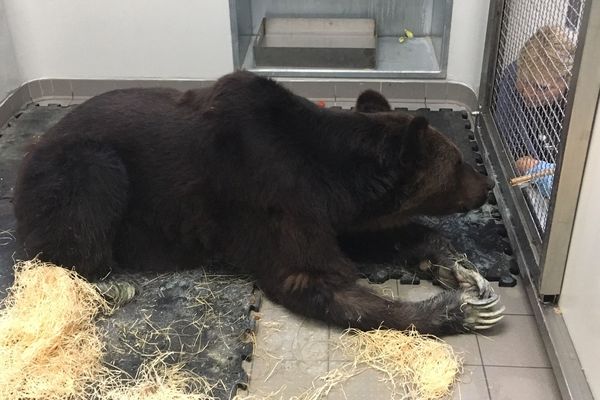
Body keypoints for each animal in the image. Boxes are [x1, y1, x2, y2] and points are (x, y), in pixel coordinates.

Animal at [12, 71, 502, 334]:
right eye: (458, 162)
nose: (488, 183)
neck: (329, 175)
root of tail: (30, 149)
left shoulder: (322, 209)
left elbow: (365, 236)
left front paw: (455, 265)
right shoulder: (267, 195)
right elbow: (311, 277)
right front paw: (461, 309)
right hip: (79, 166)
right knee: (82, 208)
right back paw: (111, 282)